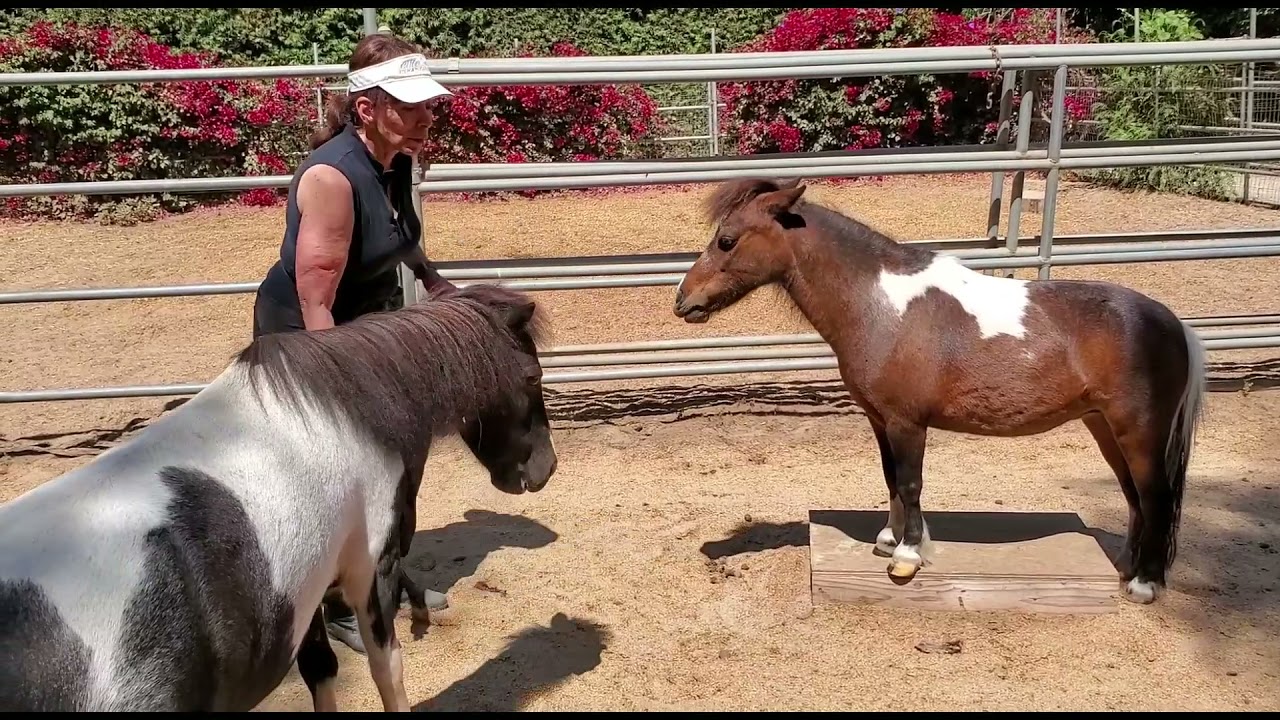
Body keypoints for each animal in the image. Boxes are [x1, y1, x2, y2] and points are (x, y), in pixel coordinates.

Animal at [0, 283, 559, 712]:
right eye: (533, 375)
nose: (546, 469)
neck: (343, 414)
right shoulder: (369, 573)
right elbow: (387, 670)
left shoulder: (305, 590)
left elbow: (321, 670)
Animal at [672, 177, 1206, 606]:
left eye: (726, 240)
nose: (683, 301)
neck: (882, 307)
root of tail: (1175, 325)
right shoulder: (881, 421)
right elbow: (891, 479)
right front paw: (890, 539)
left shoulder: (908, 423)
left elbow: (910, 483)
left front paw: (907, 555)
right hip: (1104, 428)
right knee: (1135, 498)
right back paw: (1125, 569)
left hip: (1139, 432)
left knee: (1156, 497)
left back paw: (1145, 585)